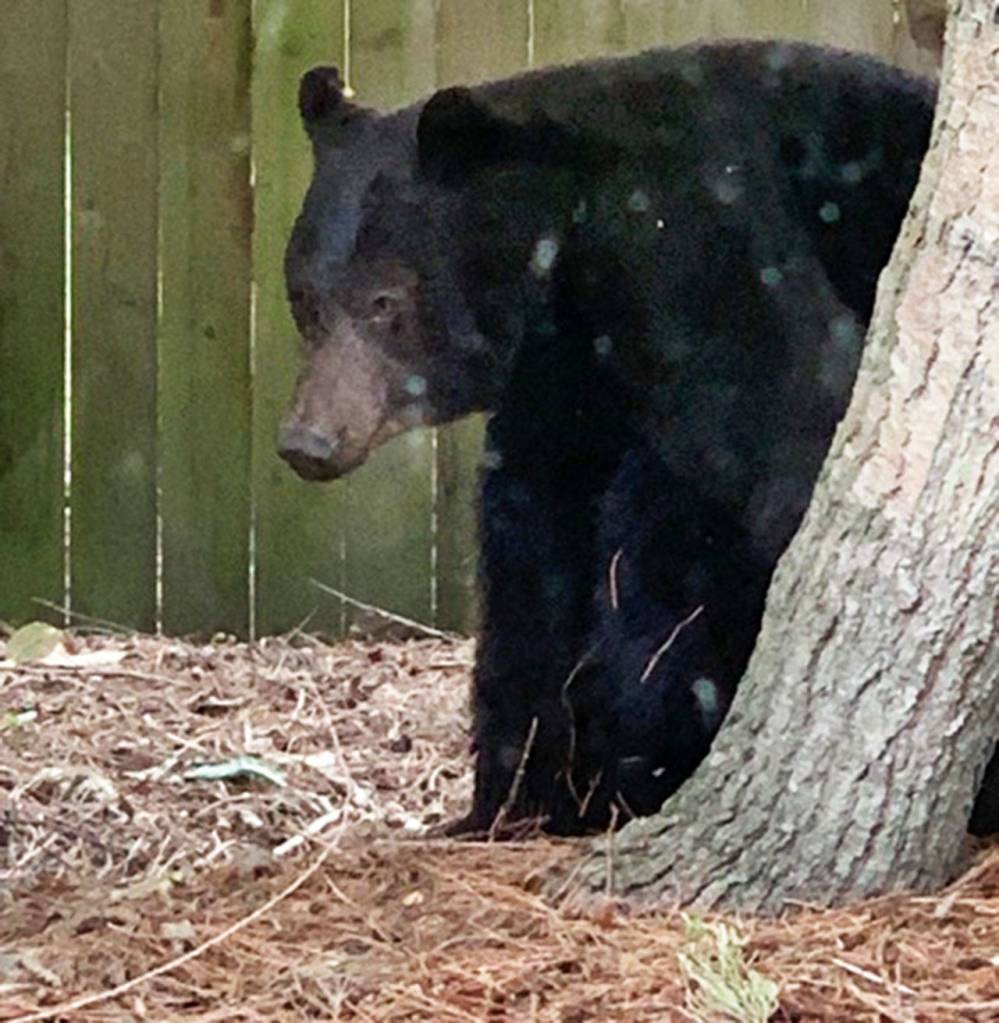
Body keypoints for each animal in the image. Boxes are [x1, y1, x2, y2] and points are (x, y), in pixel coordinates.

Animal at [278, 40, 939, 835]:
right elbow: (532, 556)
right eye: (305, 297)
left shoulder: (706, 258)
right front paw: (512, 792)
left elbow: (782, 457)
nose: (308, 441)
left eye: (384, 301)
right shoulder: (560, 392)